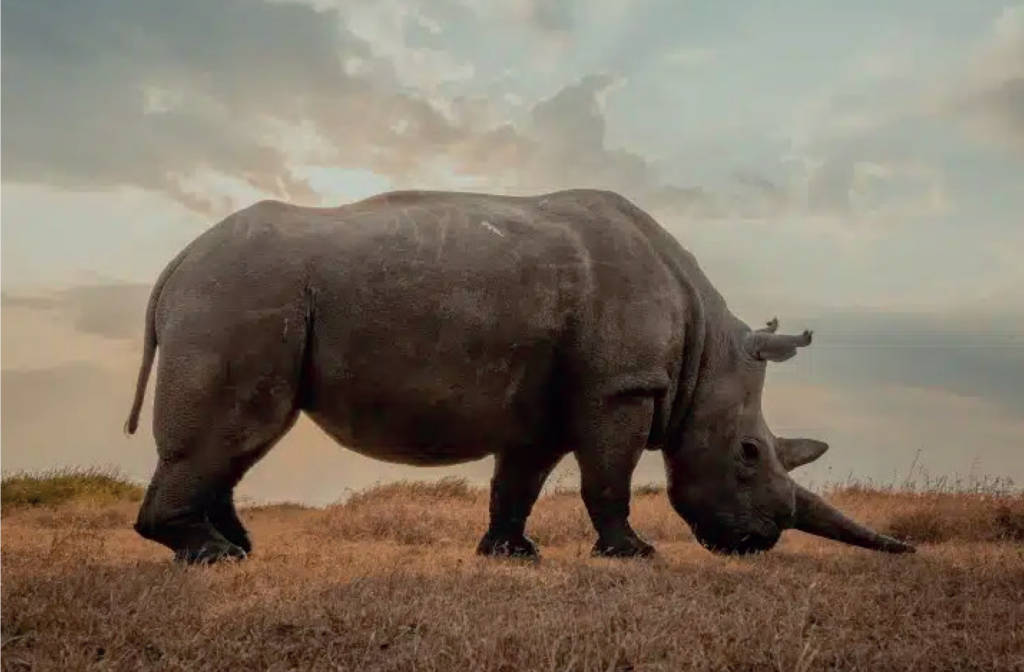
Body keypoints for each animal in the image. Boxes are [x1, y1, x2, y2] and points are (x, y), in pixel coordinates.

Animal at [124, 188, 914, 563]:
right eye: (749, 454)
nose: (755, 544)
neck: (703, 352)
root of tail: (174, 265)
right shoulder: (624, 385)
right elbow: (608, 477)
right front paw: (633, 555)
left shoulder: (548, 403)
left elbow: (521, 481)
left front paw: (512, 555)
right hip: (239, 292)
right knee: (238, 428)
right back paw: (210, 559)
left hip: (244, 292)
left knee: (250, 436)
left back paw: (237, 549)